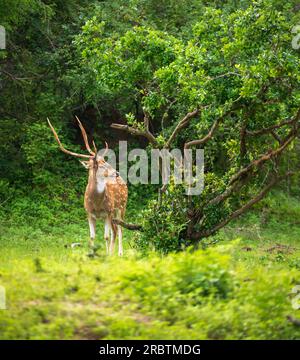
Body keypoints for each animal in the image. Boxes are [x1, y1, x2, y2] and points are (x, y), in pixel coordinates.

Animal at [47, 116, 127, 255]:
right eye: (98, 165)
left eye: (105, 161)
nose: (116, 173)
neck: (97, 204)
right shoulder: (88, 213)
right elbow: (92, 236)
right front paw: (92, 254)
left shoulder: (107, 212)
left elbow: (106, 236)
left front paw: (107, 255)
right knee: (115, 230)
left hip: (121, 206)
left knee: (120, 229)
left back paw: (119, 253)